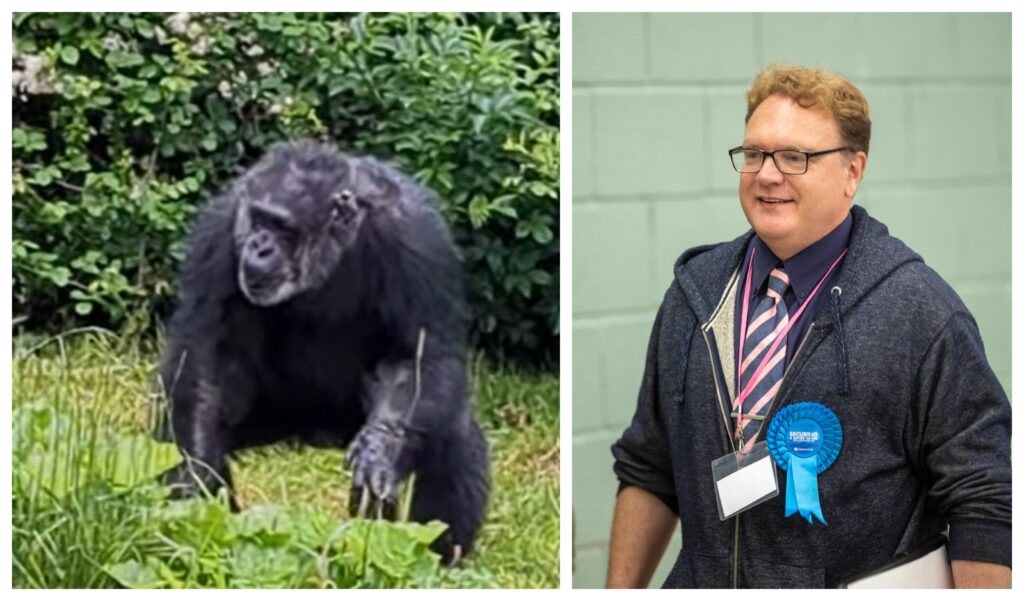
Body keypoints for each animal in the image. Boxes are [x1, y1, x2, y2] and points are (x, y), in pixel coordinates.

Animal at [154, 139, 487, 561]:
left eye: (282, 227)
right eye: (258, 220)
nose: (260, 246)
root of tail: (316, 431)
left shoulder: (418, 243)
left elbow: (419, 355)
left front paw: (380, 451)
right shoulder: (218, 234)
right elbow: (204, 361)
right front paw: (194, 486)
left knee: (454, 438)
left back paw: (440, 559)